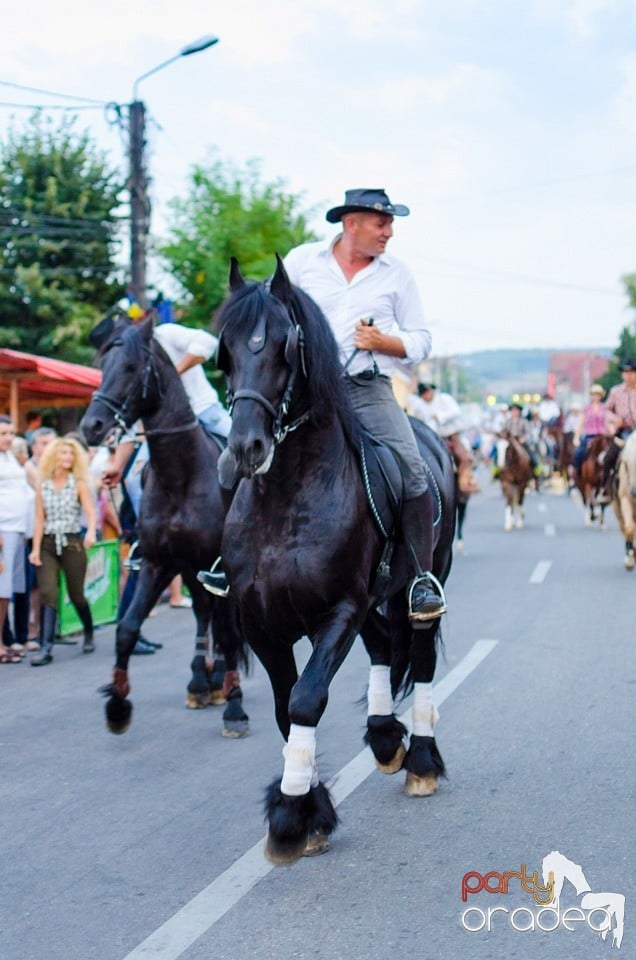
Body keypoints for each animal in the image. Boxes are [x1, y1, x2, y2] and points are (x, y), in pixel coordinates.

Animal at [80, 318, 248, 740]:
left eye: (129, 367)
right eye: (101, 366)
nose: (91, 426)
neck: (181, 475)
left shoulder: (219, 569)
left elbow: (230, 635)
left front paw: (235, 708)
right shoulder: (158, 564)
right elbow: (126, 629)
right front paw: (117, 706)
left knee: (221, 623)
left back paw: (218, 682)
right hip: (189, 570)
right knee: (204, 614)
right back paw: (201, 682)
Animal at [214, 258, 458, 868]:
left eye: (284, 345)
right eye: (225, 351)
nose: (245, 449)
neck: (288, 501)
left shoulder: (339, 611)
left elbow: (307, 699)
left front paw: (289, 817)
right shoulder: (262, 624)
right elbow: (286, 707)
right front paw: (309, 810)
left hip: (421, 585)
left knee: (419, 658)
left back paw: (419, 760)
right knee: (384, 645)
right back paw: (385, 736)